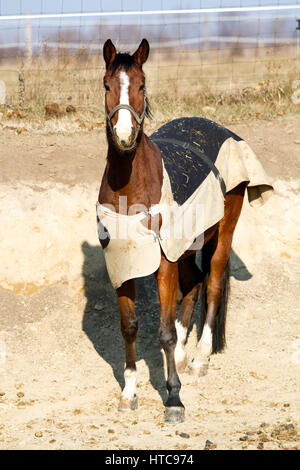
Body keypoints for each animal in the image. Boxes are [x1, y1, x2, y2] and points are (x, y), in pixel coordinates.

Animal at [97, 39, 274, 422]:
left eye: (142, 86)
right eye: (106, 86)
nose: (124, 136)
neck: (130, 187)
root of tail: (222, 130)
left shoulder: (163, 260)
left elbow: (163, 330)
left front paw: (174, 398)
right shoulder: (122, 263)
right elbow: (129, 326)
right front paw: (130, 391)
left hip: (222, 232)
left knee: (213, 284)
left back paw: (198, 358)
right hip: (188, 245)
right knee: (194, 283)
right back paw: (179, 355)